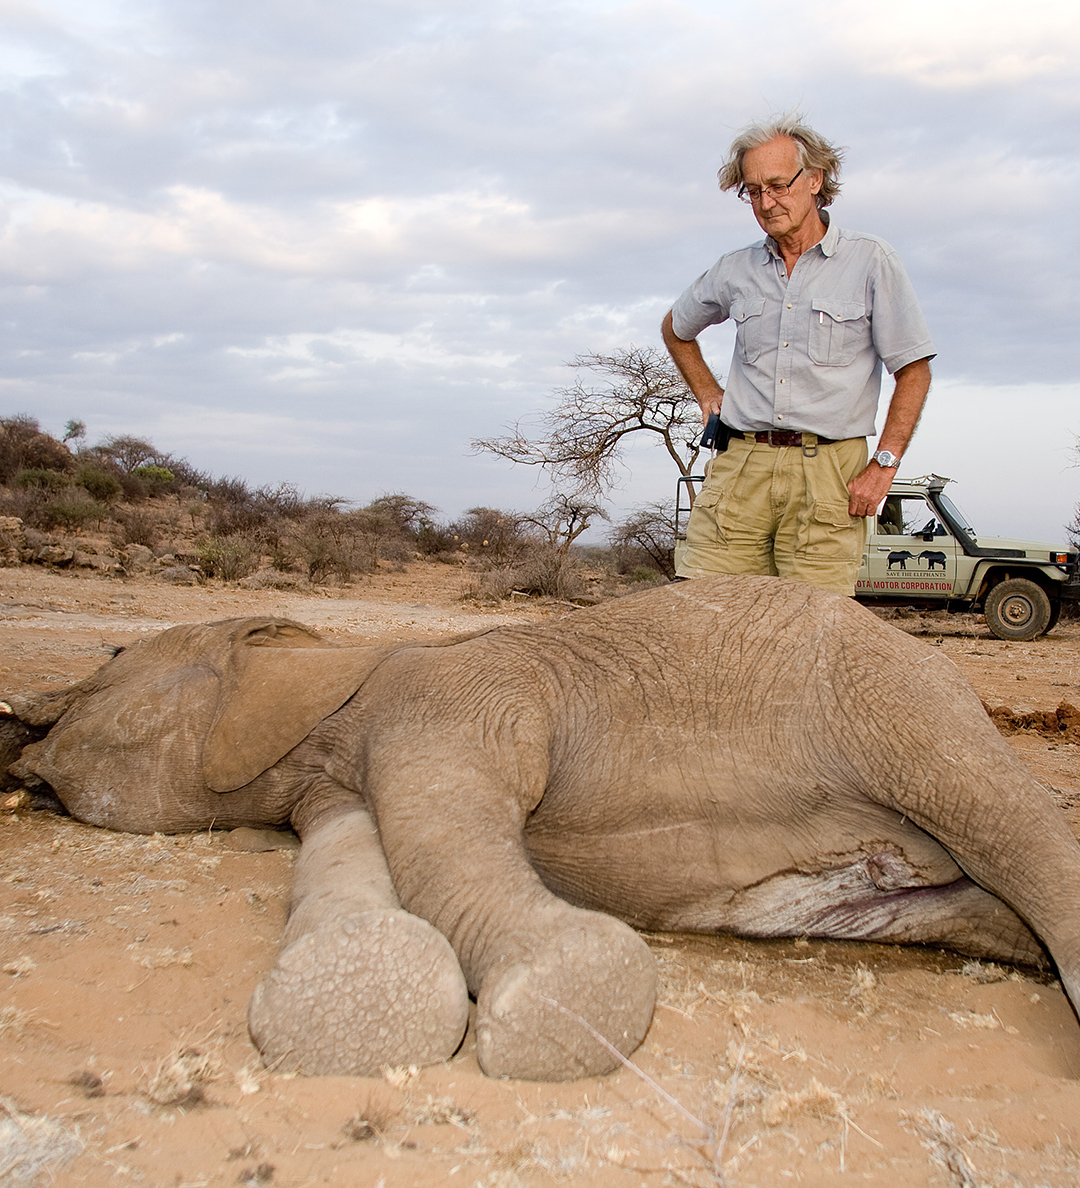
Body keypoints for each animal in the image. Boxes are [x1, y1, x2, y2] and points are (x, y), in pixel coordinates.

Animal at [3, 575, 1079, 1083]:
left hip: (894, 695)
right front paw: (356, 996)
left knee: (1010, 826)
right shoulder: (337, 779)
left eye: (110, 657)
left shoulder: (454, 699)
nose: (20, 742)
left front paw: (571, 994)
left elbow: (455, 831)